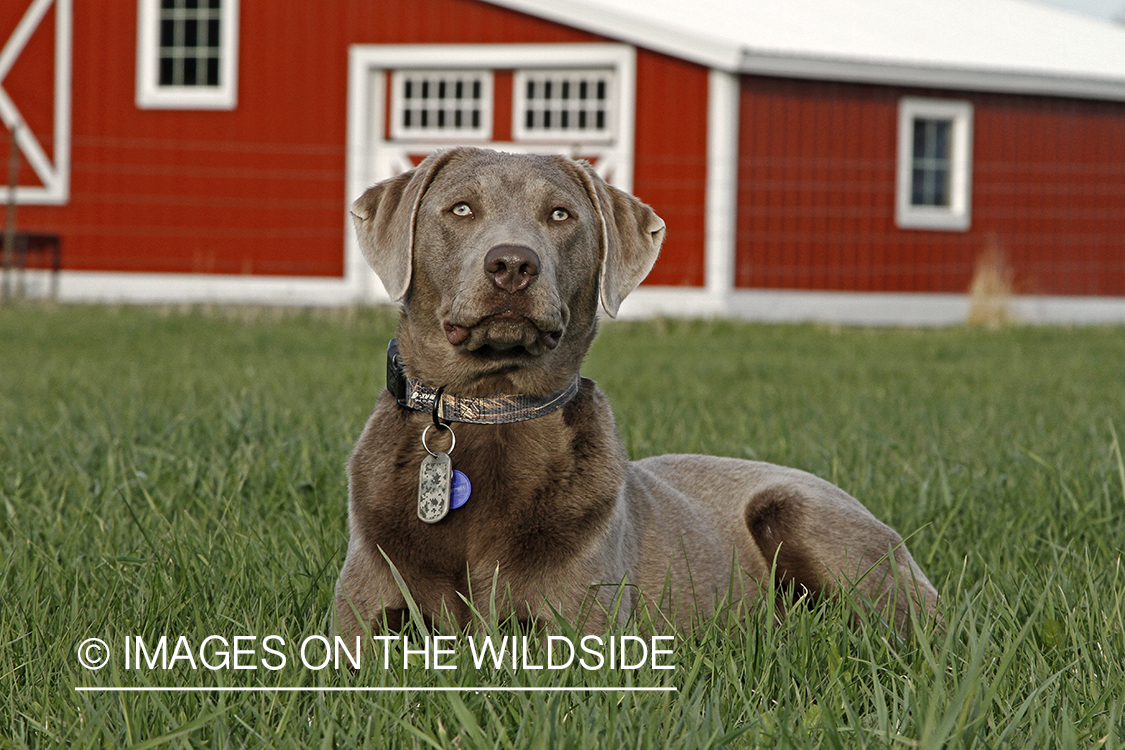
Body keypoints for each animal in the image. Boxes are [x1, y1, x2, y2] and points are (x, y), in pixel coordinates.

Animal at [335, 146, 940, 638]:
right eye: (460, 209)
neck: (490, 406)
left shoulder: (580, 625)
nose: (512, 264)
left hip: (801, 513)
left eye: (561, 214)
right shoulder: (364, 616)